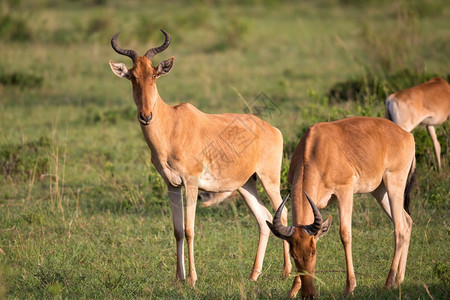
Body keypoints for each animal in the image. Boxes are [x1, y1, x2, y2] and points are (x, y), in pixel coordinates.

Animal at [109, 29, 292, 286]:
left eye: (154, 74)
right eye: (132, 76)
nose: (146, 116)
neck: (172, 124)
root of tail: (273, 130)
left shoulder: (192, 182)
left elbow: (189, 230)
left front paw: (193, 280)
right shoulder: (172, 185)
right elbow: (177, 230)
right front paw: (178, 278)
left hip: (269, 179)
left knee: (281, 214)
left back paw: (286, 271)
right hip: (246, 184)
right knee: (263, 219)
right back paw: (254, 274)